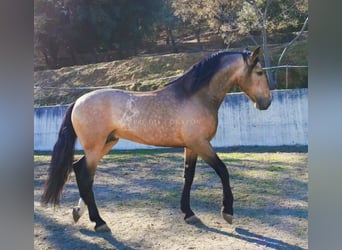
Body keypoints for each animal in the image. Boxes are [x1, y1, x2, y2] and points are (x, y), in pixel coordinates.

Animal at [40, 46, 272, 231]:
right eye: (259, 72)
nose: (266, 103)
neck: (195, 96)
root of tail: (78, 101)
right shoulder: (201, 143)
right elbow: (223, 170)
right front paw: (227, 211)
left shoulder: (191, 146)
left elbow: (188, 176)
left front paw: (189, 213)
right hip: (95, 147)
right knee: (85, 177)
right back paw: (99, 222)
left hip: (106, 143)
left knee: (80, 170)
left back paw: (79, 213)